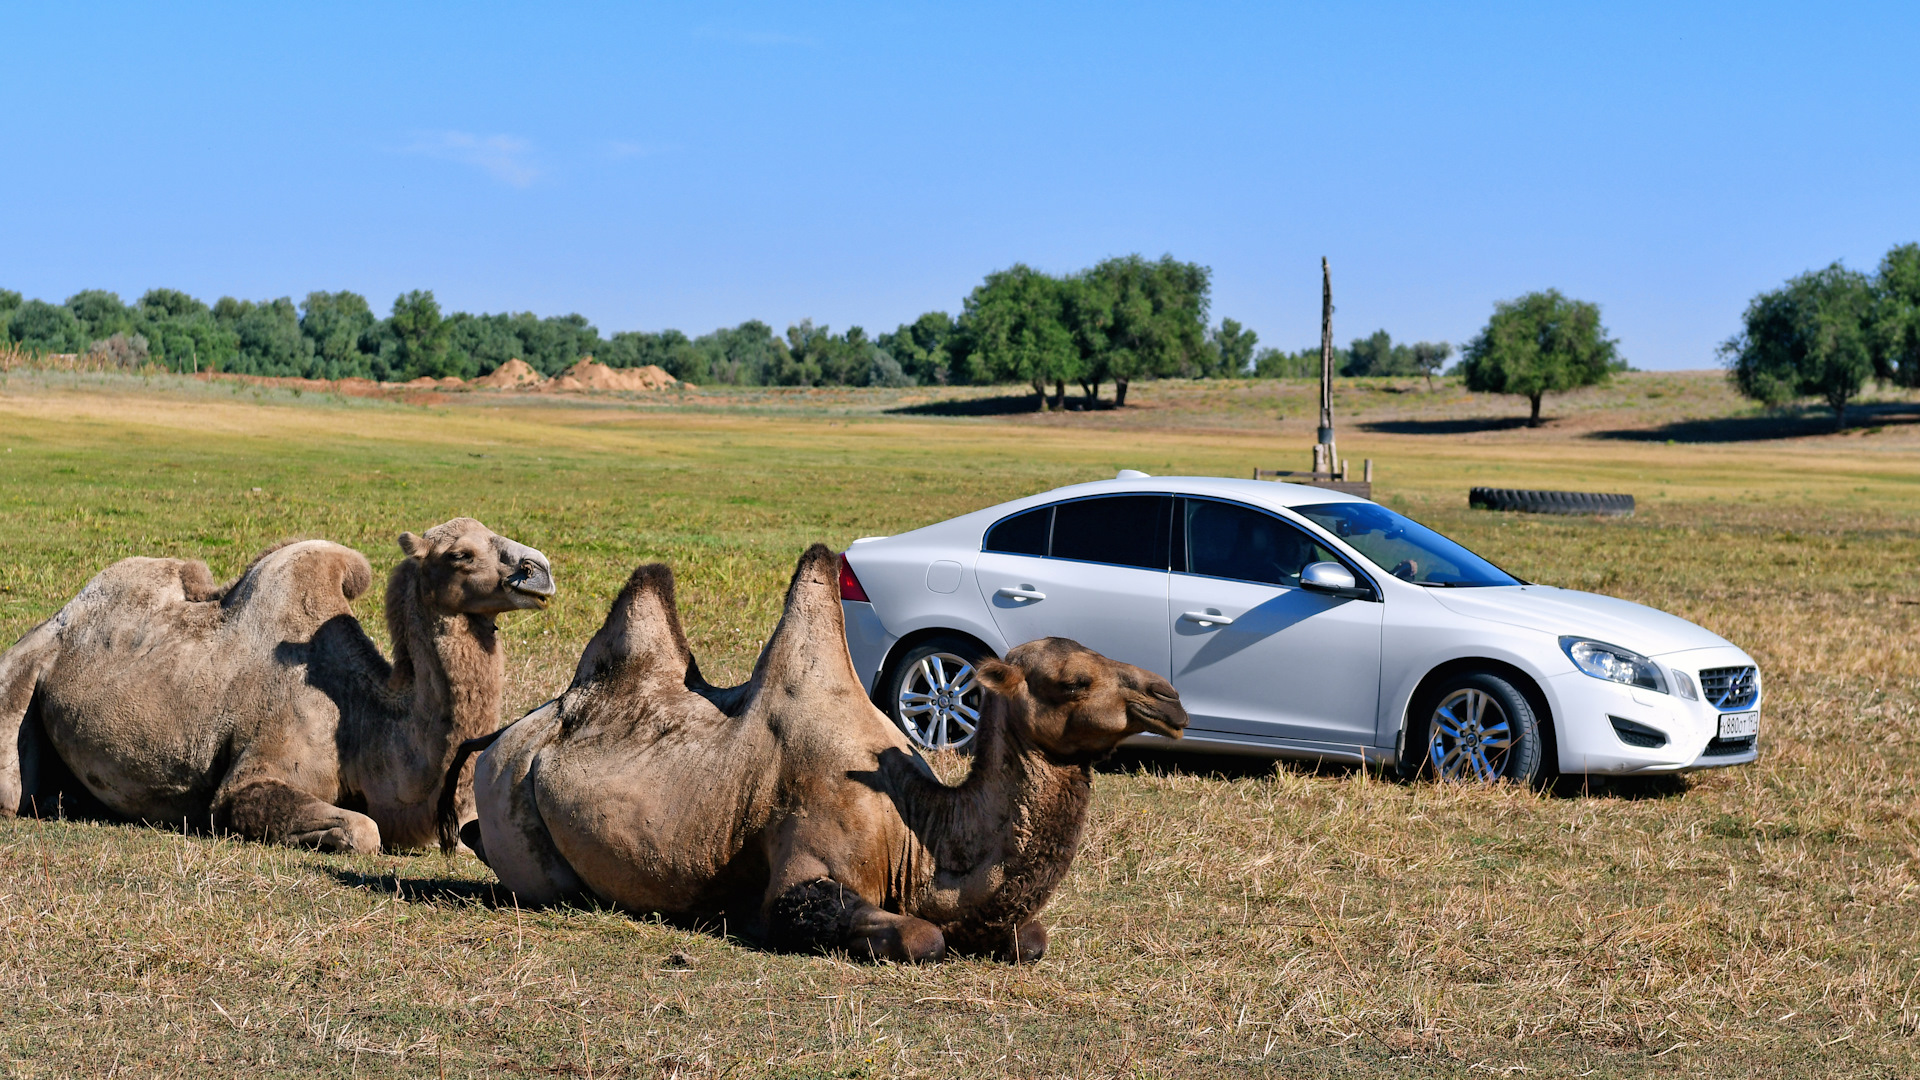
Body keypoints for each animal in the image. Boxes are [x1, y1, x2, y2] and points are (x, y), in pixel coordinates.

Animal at [0, 515, 556, 849]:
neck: (364, 720)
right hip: (25, 671)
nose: (539, 570)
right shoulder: (254, 774)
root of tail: (58, 618)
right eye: (460, 554)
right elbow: (364, 830)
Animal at [441, 545, 1182, 957]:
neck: (917, 830)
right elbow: (921, 935)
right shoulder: (806, 866)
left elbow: (1029, 937)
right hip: (520, 824)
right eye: (1072, 680)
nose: (1169, 700)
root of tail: (505, 736)